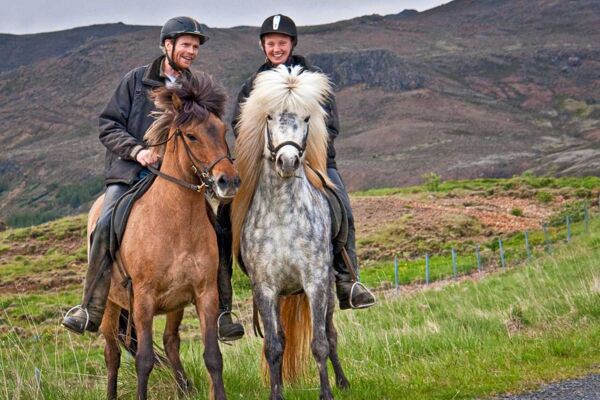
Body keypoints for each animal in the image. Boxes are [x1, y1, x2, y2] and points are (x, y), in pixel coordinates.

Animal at [89, 74, 239, 400]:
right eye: (191, 136)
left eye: (223, 131)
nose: (229, 181)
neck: (174, 224)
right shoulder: (143, 300)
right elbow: (144, 360)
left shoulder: (205, 294)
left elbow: (213, 356)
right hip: (110, 308)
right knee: (112, 355)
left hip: (175, 306)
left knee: (171, 343)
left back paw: (184, 387)